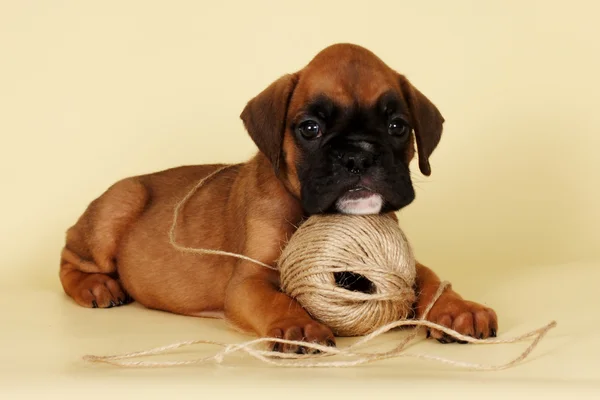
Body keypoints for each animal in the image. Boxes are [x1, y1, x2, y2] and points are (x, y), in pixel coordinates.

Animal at [58, 42, 496, 352]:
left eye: (397, 126)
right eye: (310, 128)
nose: (358, 154)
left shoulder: (401, 266)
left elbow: (431, 278)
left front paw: (458, 309)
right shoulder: (249, 281)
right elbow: (276, 301)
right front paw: (300, 325)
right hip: (121, 203)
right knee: (69, 259)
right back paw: (96, 287)